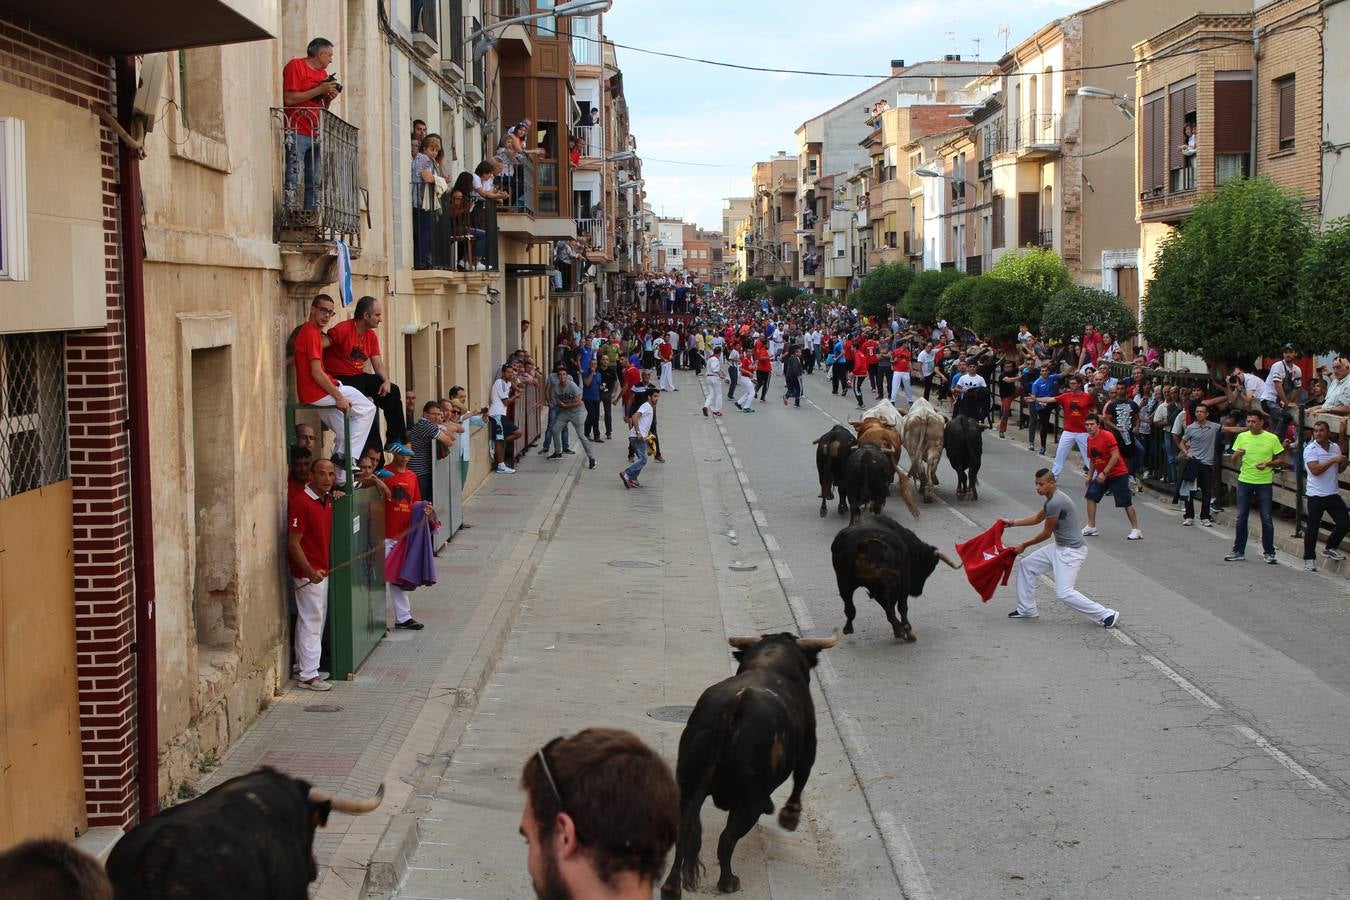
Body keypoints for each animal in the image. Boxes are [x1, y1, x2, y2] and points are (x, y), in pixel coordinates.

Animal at [661, 634, 837, 900]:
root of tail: (735, 704)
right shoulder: (809, 747)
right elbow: (800, 781)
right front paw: (789, 816)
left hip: (688, 786)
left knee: (685, 834)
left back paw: (671, 887)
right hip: (748, 801)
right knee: (727, 839)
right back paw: (728, 882)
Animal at [831, 512, 961, 639]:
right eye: (927, 569)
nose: (918, 592)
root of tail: (863, 545)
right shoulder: (903, 581)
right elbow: (901, 606)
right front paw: (905, 629)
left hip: (845, 582)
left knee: (851, 607)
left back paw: (849, 628)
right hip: (890, 583)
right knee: (896, 606)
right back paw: (905, 631)